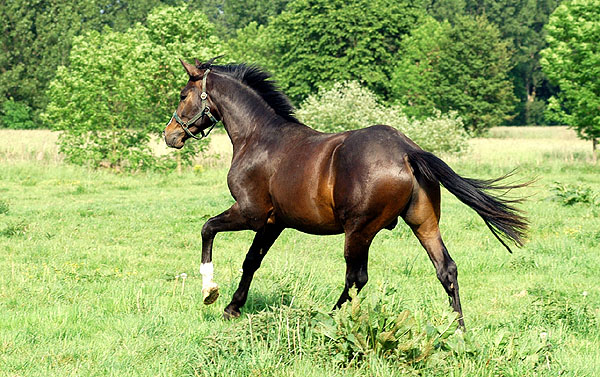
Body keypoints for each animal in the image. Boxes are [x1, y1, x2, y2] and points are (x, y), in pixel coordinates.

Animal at [164, 56, 528, 326]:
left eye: (183, 95)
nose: (170, 135)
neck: (258, 138)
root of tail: (406, 150)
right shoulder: (274, 222)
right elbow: (251, 261)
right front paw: (233, 307)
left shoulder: (250, 212)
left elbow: (207, 229)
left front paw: (210, 292)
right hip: (423, 222)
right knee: (446, 269)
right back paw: (458, 329)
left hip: (359, 230)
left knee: (357, 277)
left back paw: (327, 317)